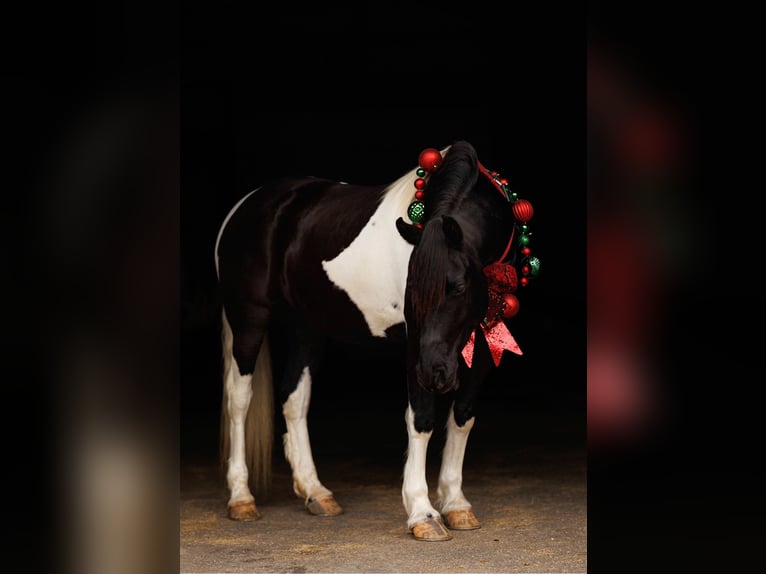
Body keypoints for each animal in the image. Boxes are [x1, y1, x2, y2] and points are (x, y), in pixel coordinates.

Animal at [214, 140, 540, 541]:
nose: (435, 374)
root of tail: (246, 205)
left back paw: (315, 492)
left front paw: (456, 503)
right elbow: (422, 419)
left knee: (294, 398)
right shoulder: (416, 347)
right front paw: (423, 513)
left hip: (307, 326)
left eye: (459, 286)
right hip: (249, 319)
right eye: (411, 288)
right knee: (239, 399)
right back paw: (241, 497)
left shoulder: (484, 340)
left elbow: (463, 416)